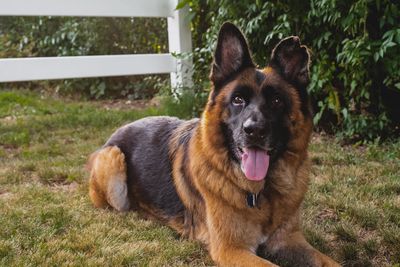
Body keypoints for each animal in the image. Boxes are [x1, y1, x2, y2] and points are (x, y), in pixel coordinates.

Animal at [88, 23, 340, 267]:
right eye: (238, 100)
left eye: (277, 101)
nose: (254, 131)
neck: (262, 193)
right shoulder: (231, 250)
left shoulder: (289, 240)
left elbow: (330, 262)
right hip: (114, 160)